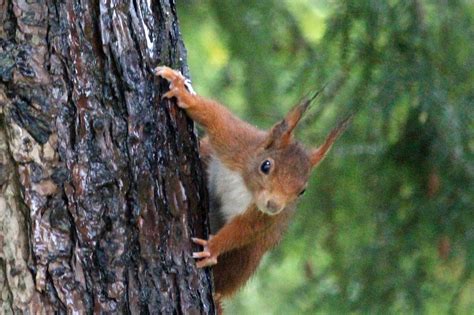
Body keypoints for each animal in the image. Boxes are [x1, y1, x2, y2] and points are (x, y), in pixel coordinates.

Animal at [154, 66, 350, 308]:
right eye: (266, 165)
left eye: (302, 191)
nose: (274, 205)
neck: (247, 186)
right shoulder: (235, 143)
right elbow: (214, 115)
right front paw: (182, 92)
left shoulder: (261, 217)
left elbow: (244, 230)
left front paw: (212, 248)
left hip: (246, 257)